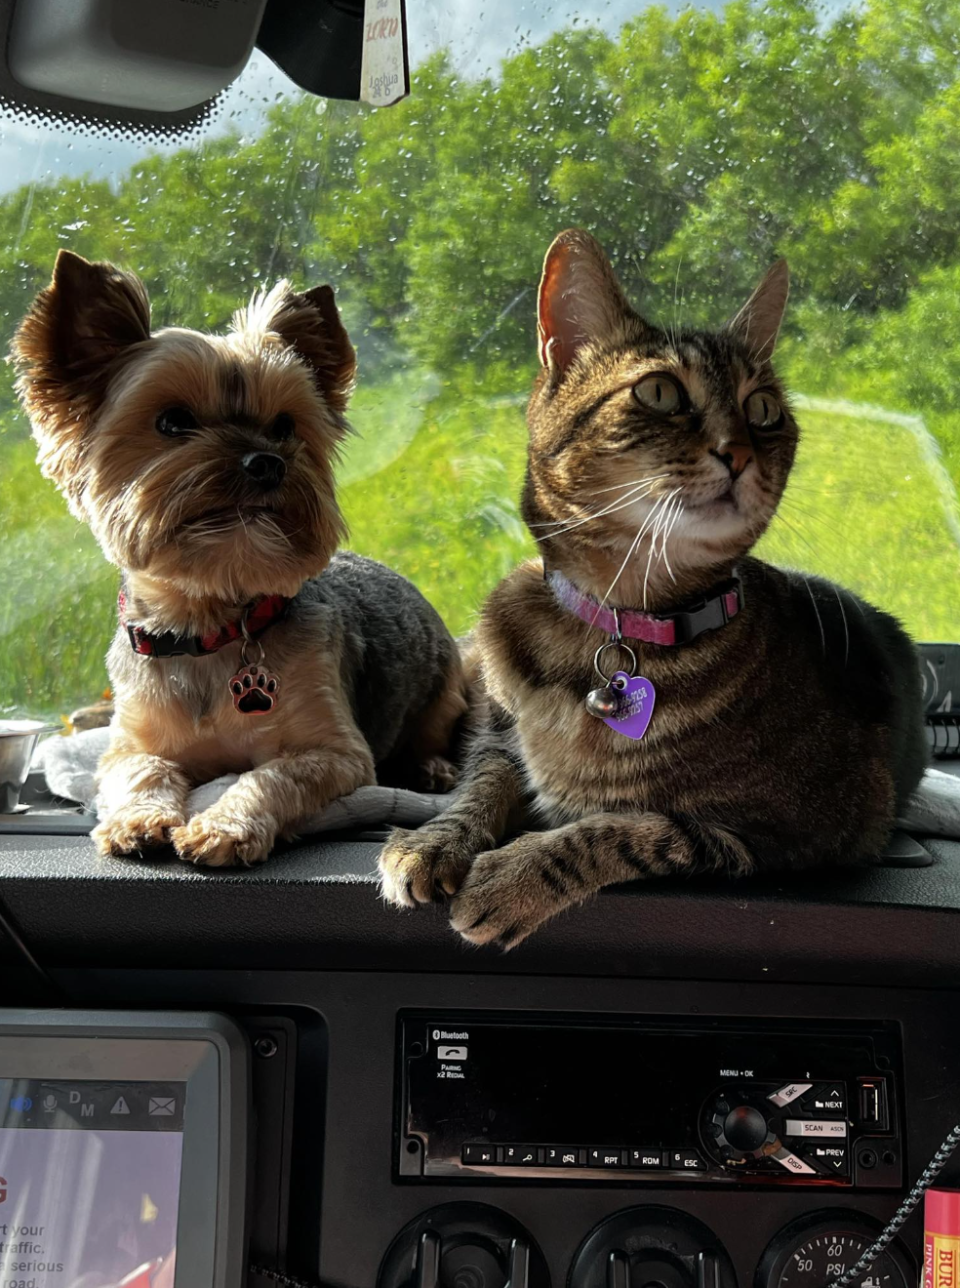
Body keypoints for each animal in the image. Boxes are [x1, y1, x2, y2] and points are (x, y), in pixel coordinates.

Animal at [13, 251, 466, 865]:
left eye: (286, 426)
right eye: (172, 421)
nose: (267, 461)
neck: (210, 624)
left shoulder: (335, 753)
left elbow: (271, 775)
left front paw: (223, 826)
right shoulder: (128, 745)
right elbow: (141, 770)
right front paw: (137, 820)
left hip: (443, 686)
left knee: (434, 729)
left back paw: (432, 766)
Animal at [376, 226, 927, 947]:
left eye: (763, 409)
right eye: (661, 392)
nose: (739, 452)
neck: (616, 617)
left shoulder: (791, 831)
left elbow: (628, 828)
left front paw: (511, 876)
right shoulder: (499, 737)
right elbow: (484, 779)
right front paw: (431, 841)